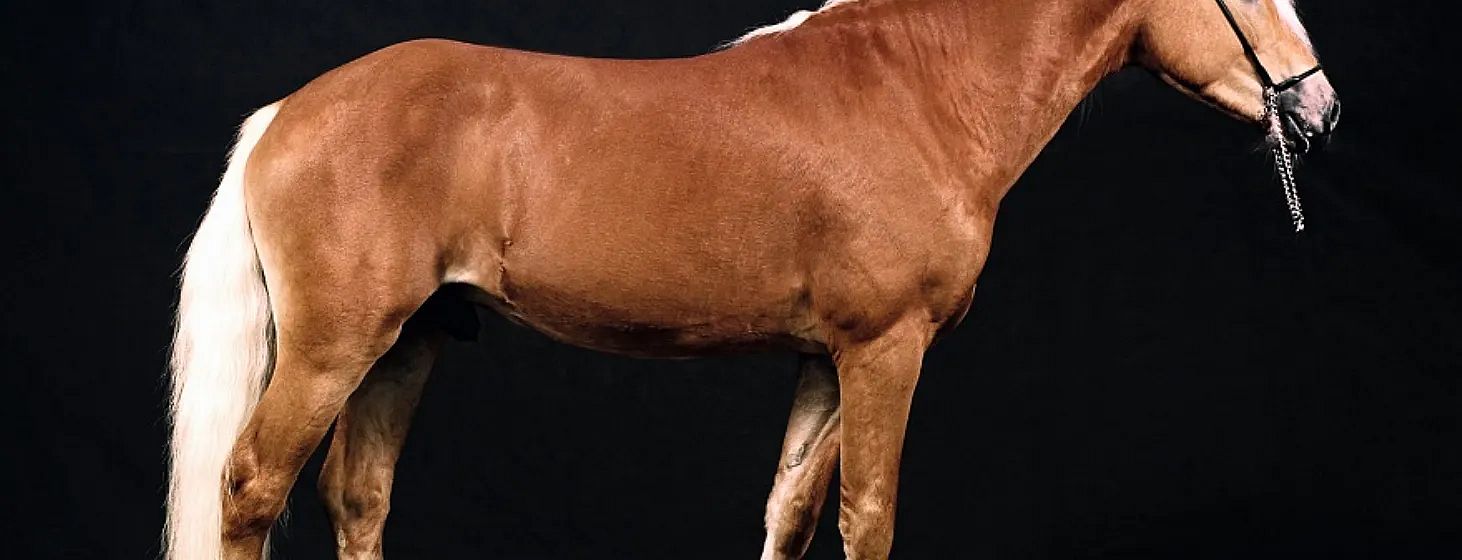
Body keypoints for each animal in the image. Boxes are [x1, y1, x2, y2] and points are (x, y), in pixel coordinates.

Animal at [165, 0, 1340, 558]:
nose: (1320, 108)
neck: (917, 90)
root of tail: (286, 114)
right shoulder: (886, 350)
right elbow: (869, 516)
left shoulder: (827, 360)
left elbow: (790, 512)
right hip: (332, 349)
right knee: (249, 487)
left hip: (406, 343)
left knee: (357, 499)